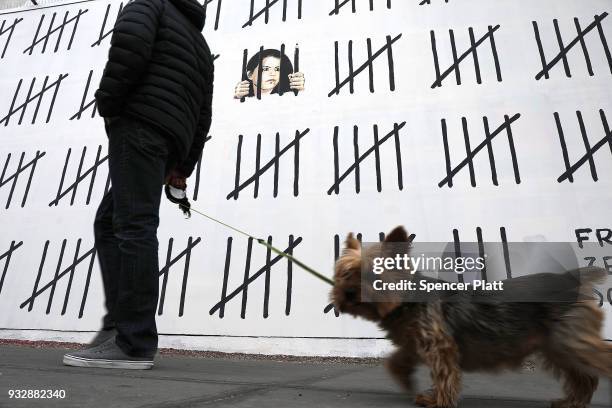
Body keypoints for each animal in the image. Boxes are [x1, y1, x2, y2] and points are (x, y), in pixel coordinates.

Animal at [332, 226, 608, 408]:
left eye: (372, 276)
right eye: (345, 274)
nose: (347, 293)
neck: (404, 301)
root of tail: (571, 279)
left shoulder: (440, 346)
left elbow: (444, 374)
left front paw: (439, 401)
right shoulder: (417, 341)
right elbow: (400, 359)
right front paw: (411, 382)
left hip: (570, 340)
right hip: (556, 345)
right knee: (583, 376)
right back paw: (572, 402)